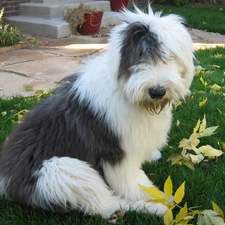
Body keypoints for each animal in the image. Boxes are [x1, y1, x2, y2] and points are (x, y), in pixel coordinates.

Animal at [0, 5, 193, 219]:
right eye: (139, 57)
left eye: (169, 56)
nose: (157, 91)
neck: (127, 92)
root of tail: (6, 180)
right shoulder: (115, 150)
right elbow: (132, 182)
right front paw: (154, 197)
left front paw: (151, 156)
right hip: (59, 170)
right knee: (106, 206)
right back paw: (157, 208)